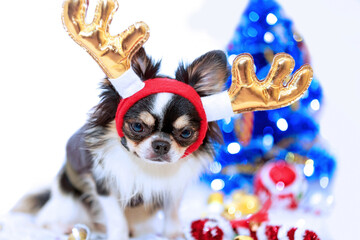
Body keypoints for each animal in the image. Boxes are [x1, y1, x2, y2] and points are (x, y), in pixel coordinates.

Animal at [13, 46, 231, 238]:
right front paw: (119, 235)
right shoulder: (104, 186)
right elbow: (117, 220)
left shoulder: (172, 189)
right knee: (45, 221)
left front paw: (174, 235)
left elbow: (172, 213)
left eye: (186, 133)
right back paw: (67, 228)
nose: (161, 144)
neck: (146, 166)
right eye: (137, 127)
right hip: (70, 203)